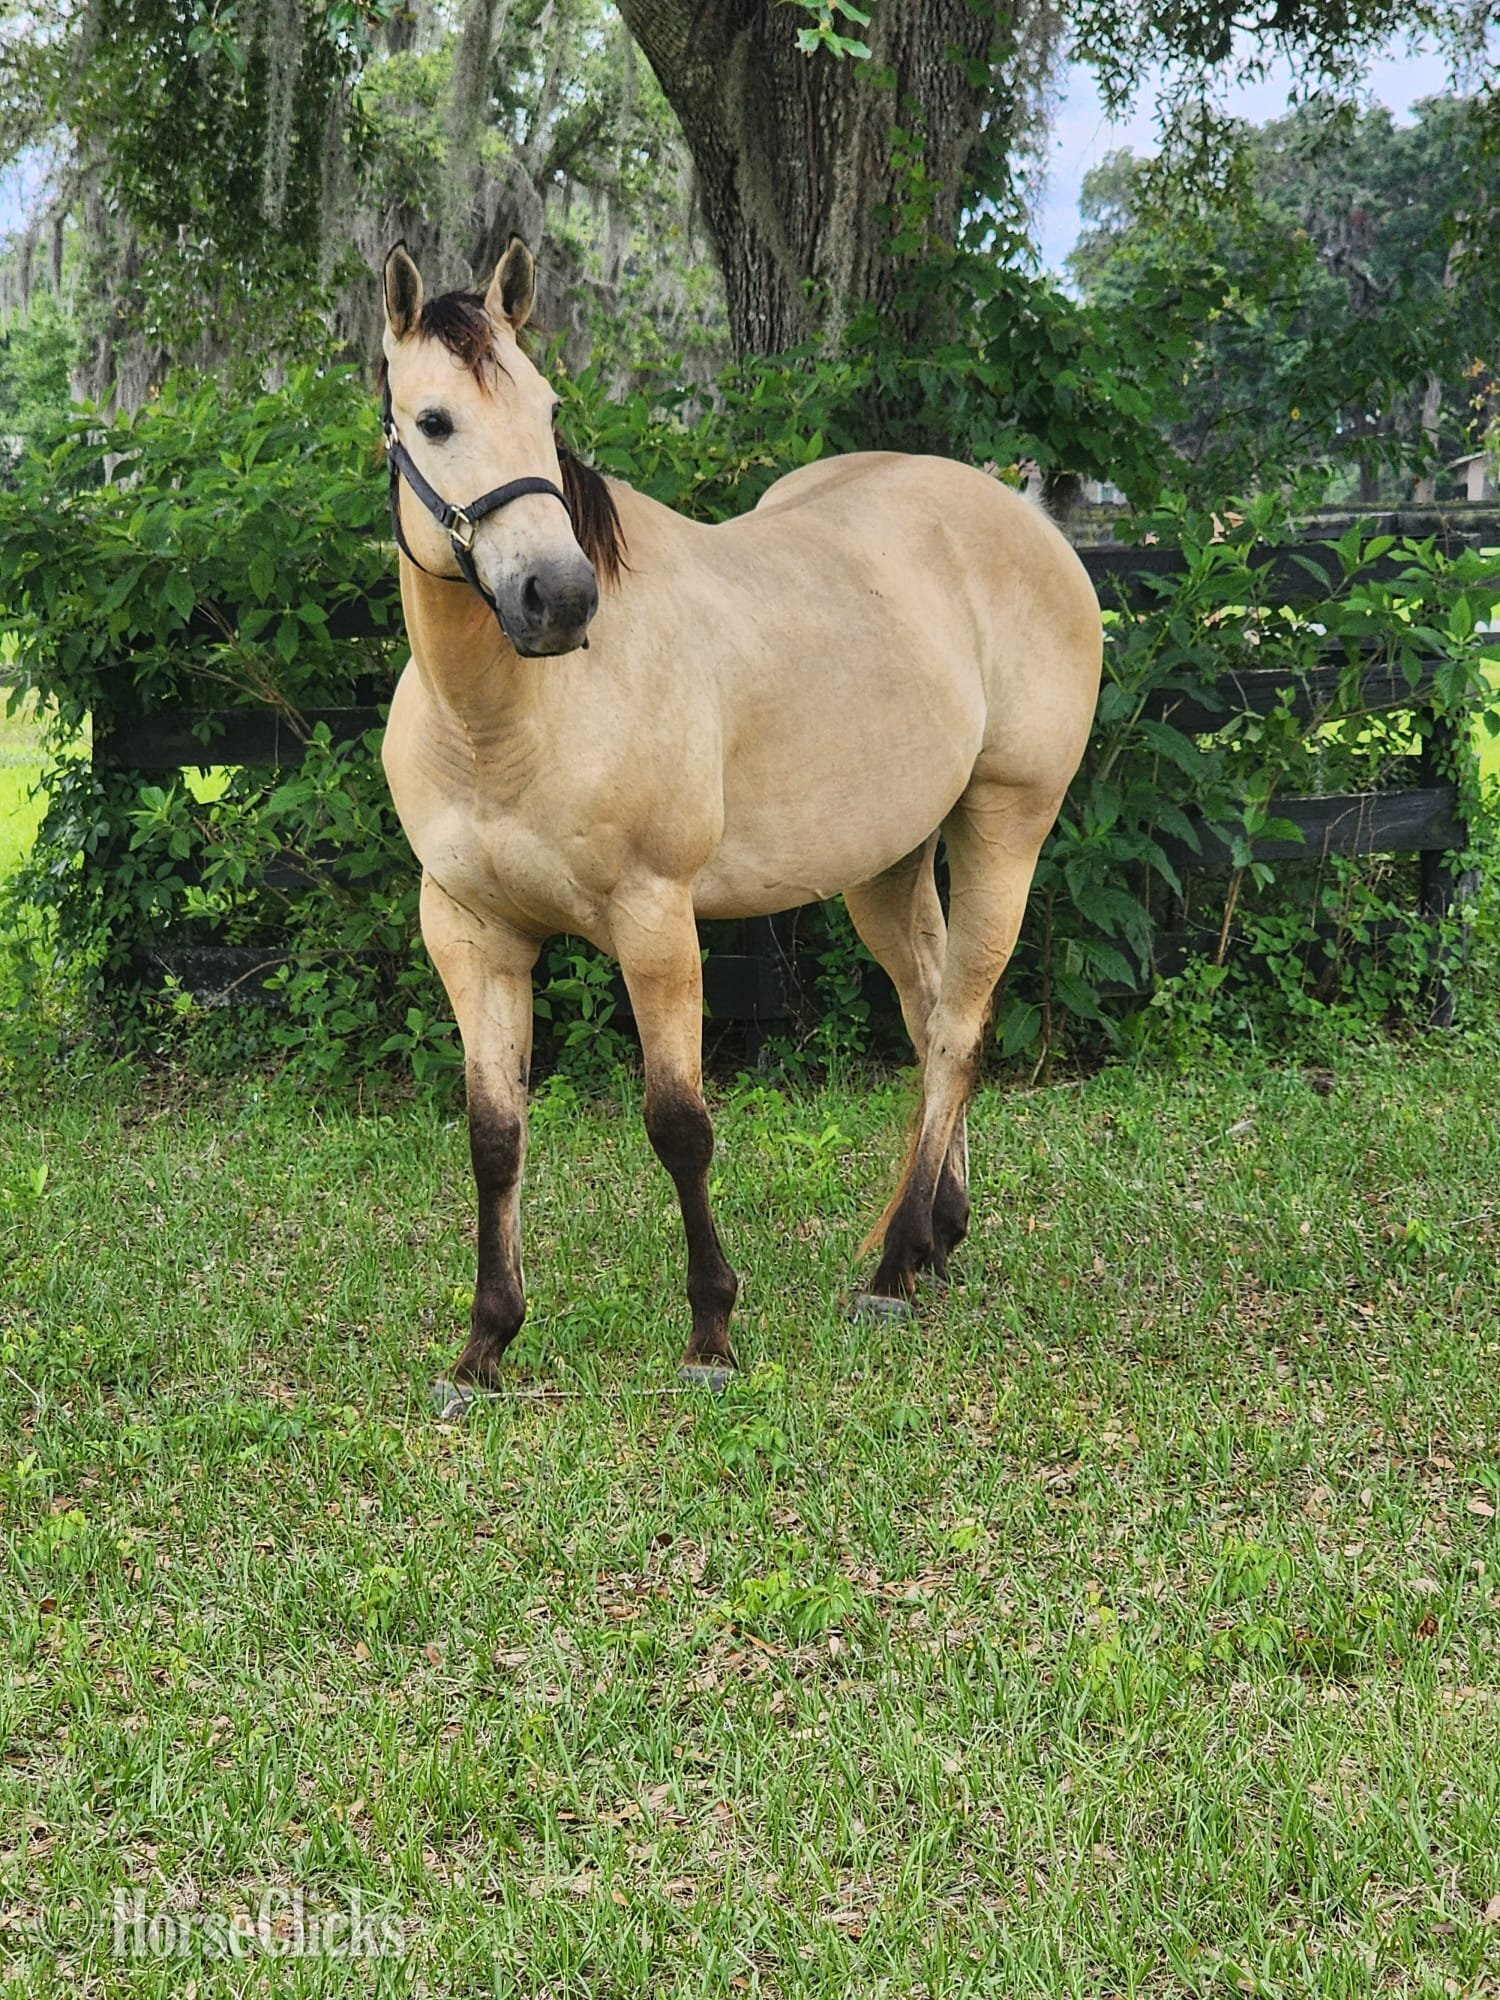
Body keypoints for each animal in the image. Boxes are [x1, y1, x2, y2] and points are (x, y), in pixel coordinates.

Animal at [375, 239, 1103, 1408]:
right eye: (434, 420)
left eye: (548, 407)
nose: (559, 599)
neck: (505, 721)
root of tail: (1025, 518)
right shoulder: (471, 935)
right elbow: (494, 1136)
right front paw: (483, 1348)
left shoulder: (655, 924)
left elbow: (679, 1125)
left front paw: (710, 1335)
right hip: (888, 863)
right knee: (930, 1013)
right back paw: (932, 1237)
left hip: (1007, 827)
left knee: (957, 1026)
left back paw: (894, 1269)